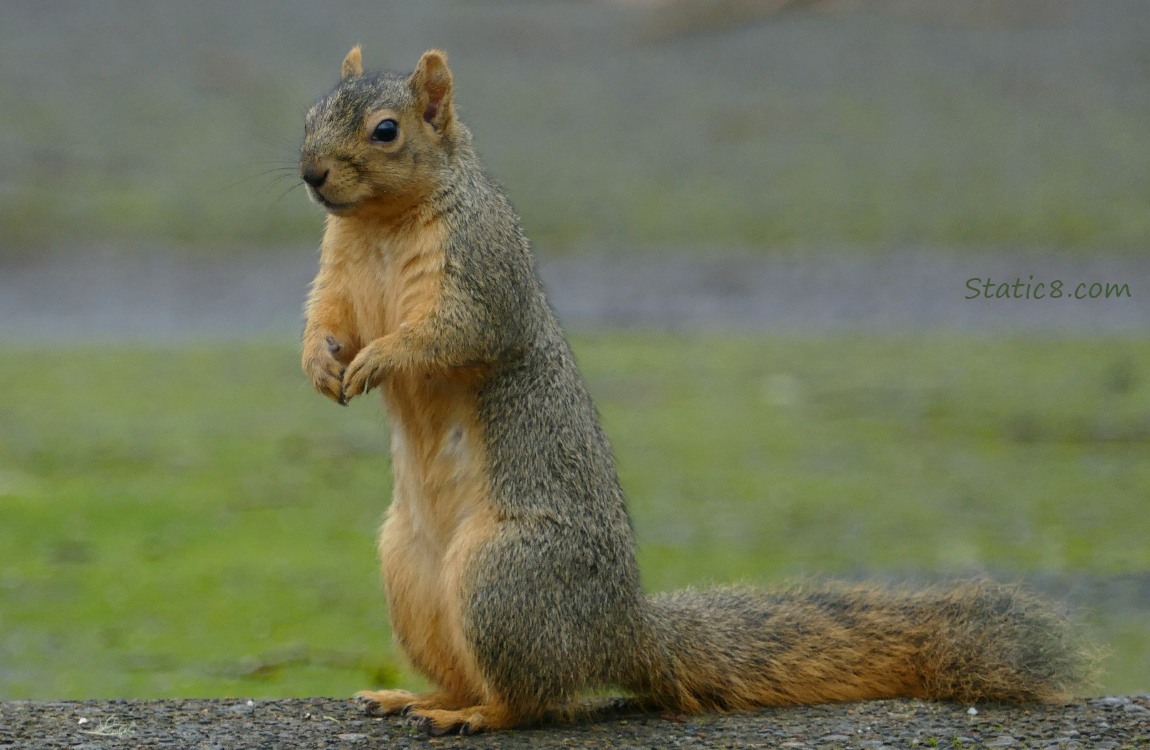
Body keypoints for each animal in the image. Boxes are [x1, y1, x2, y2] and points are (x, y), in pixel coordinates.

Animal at [294, 45, 1085, 731]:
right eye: (310, 115)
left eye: (386, 131)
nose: (310, 174)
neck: (382, 225)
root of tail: (621, 632)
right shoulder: (337, 274)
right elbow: (325, 319)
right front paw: (319, 365)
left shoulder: (481, 266)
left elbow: (457, 332)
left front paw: (381, 357)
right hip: (409, 574)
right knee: (475, 671)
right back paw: (420, 697)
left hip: (505, 578)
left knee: (538, 698)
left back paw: (476, 715)